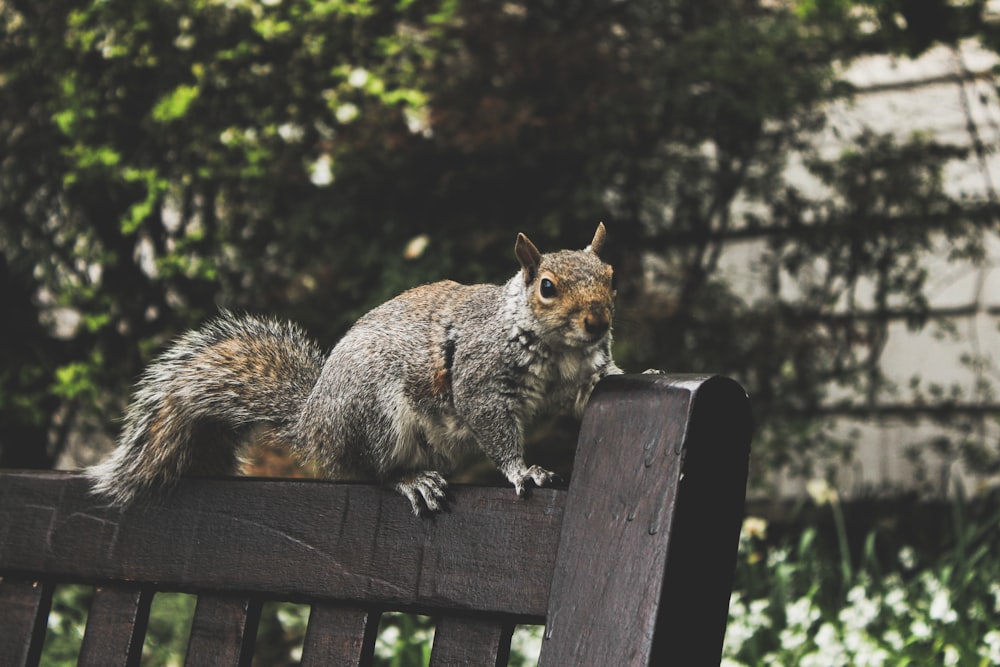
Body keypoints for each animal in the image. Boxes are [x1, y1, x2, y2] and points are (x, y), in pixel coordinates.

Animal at [90, 226, 620, 516]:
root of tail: (313, 424)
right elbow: (493, 425)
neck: (558, 350)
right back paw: (410, 480)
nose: (598, 322)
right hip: (376, 415)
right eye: (547, 287)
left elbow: (591, 387)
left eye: (611, 278)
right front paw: (522, 470)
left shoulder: (576, 376)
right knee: (369, 471)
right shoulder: (480, 377)